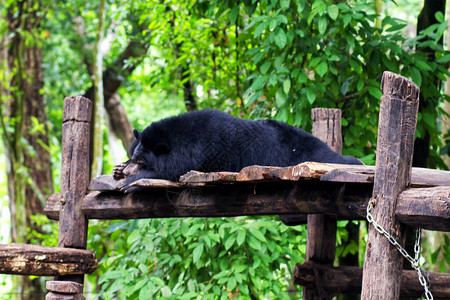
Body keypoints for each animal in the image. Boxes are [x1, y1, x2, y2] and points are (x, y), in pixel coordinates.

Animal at [116, 108, 362, 192]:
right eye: (133, 156)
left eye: (141, 161)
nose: (128, 169)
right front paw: (119, 170)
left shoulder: (207, 153)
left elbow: (172, 170)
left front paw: (130, 181)